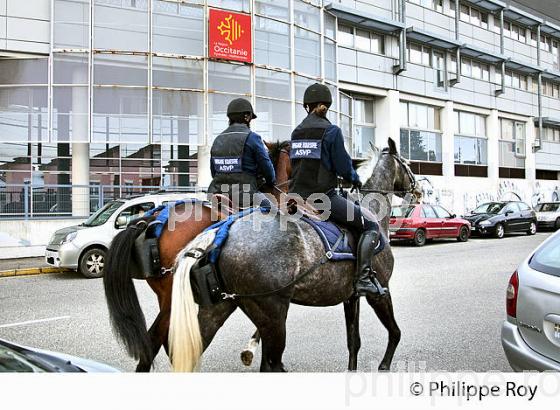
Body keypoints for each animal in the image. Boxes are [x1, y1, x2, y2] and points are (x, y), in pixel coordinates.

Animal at [168, 139, 418, 372]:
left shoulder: (351, 297)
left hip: (217, 309)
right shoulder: (380, 292)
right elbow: (395, 332)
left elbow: (353, 342)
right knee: (271, 364)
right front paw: (384, 365)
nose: (419, 189)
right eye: (407, 164)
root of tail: (221, 231)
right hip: (272, 314)